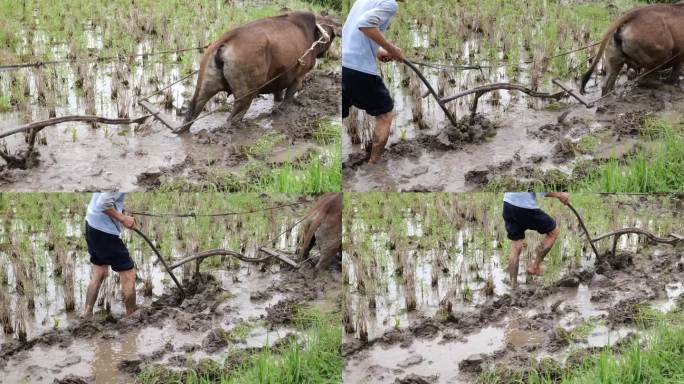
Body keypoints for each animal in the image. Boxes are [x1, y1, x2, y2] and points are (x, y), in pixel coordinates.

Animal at [178, 12, 336, 132]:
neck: (311, 32)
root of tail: (225, 42)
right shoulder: (298, 77)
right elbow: (288, 98)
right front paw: (285, 110)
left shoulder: (279, 78)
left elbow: (278, 95)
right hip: (246, 94)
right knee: (233, 117)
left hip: (205, 85)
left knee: (193, 109)